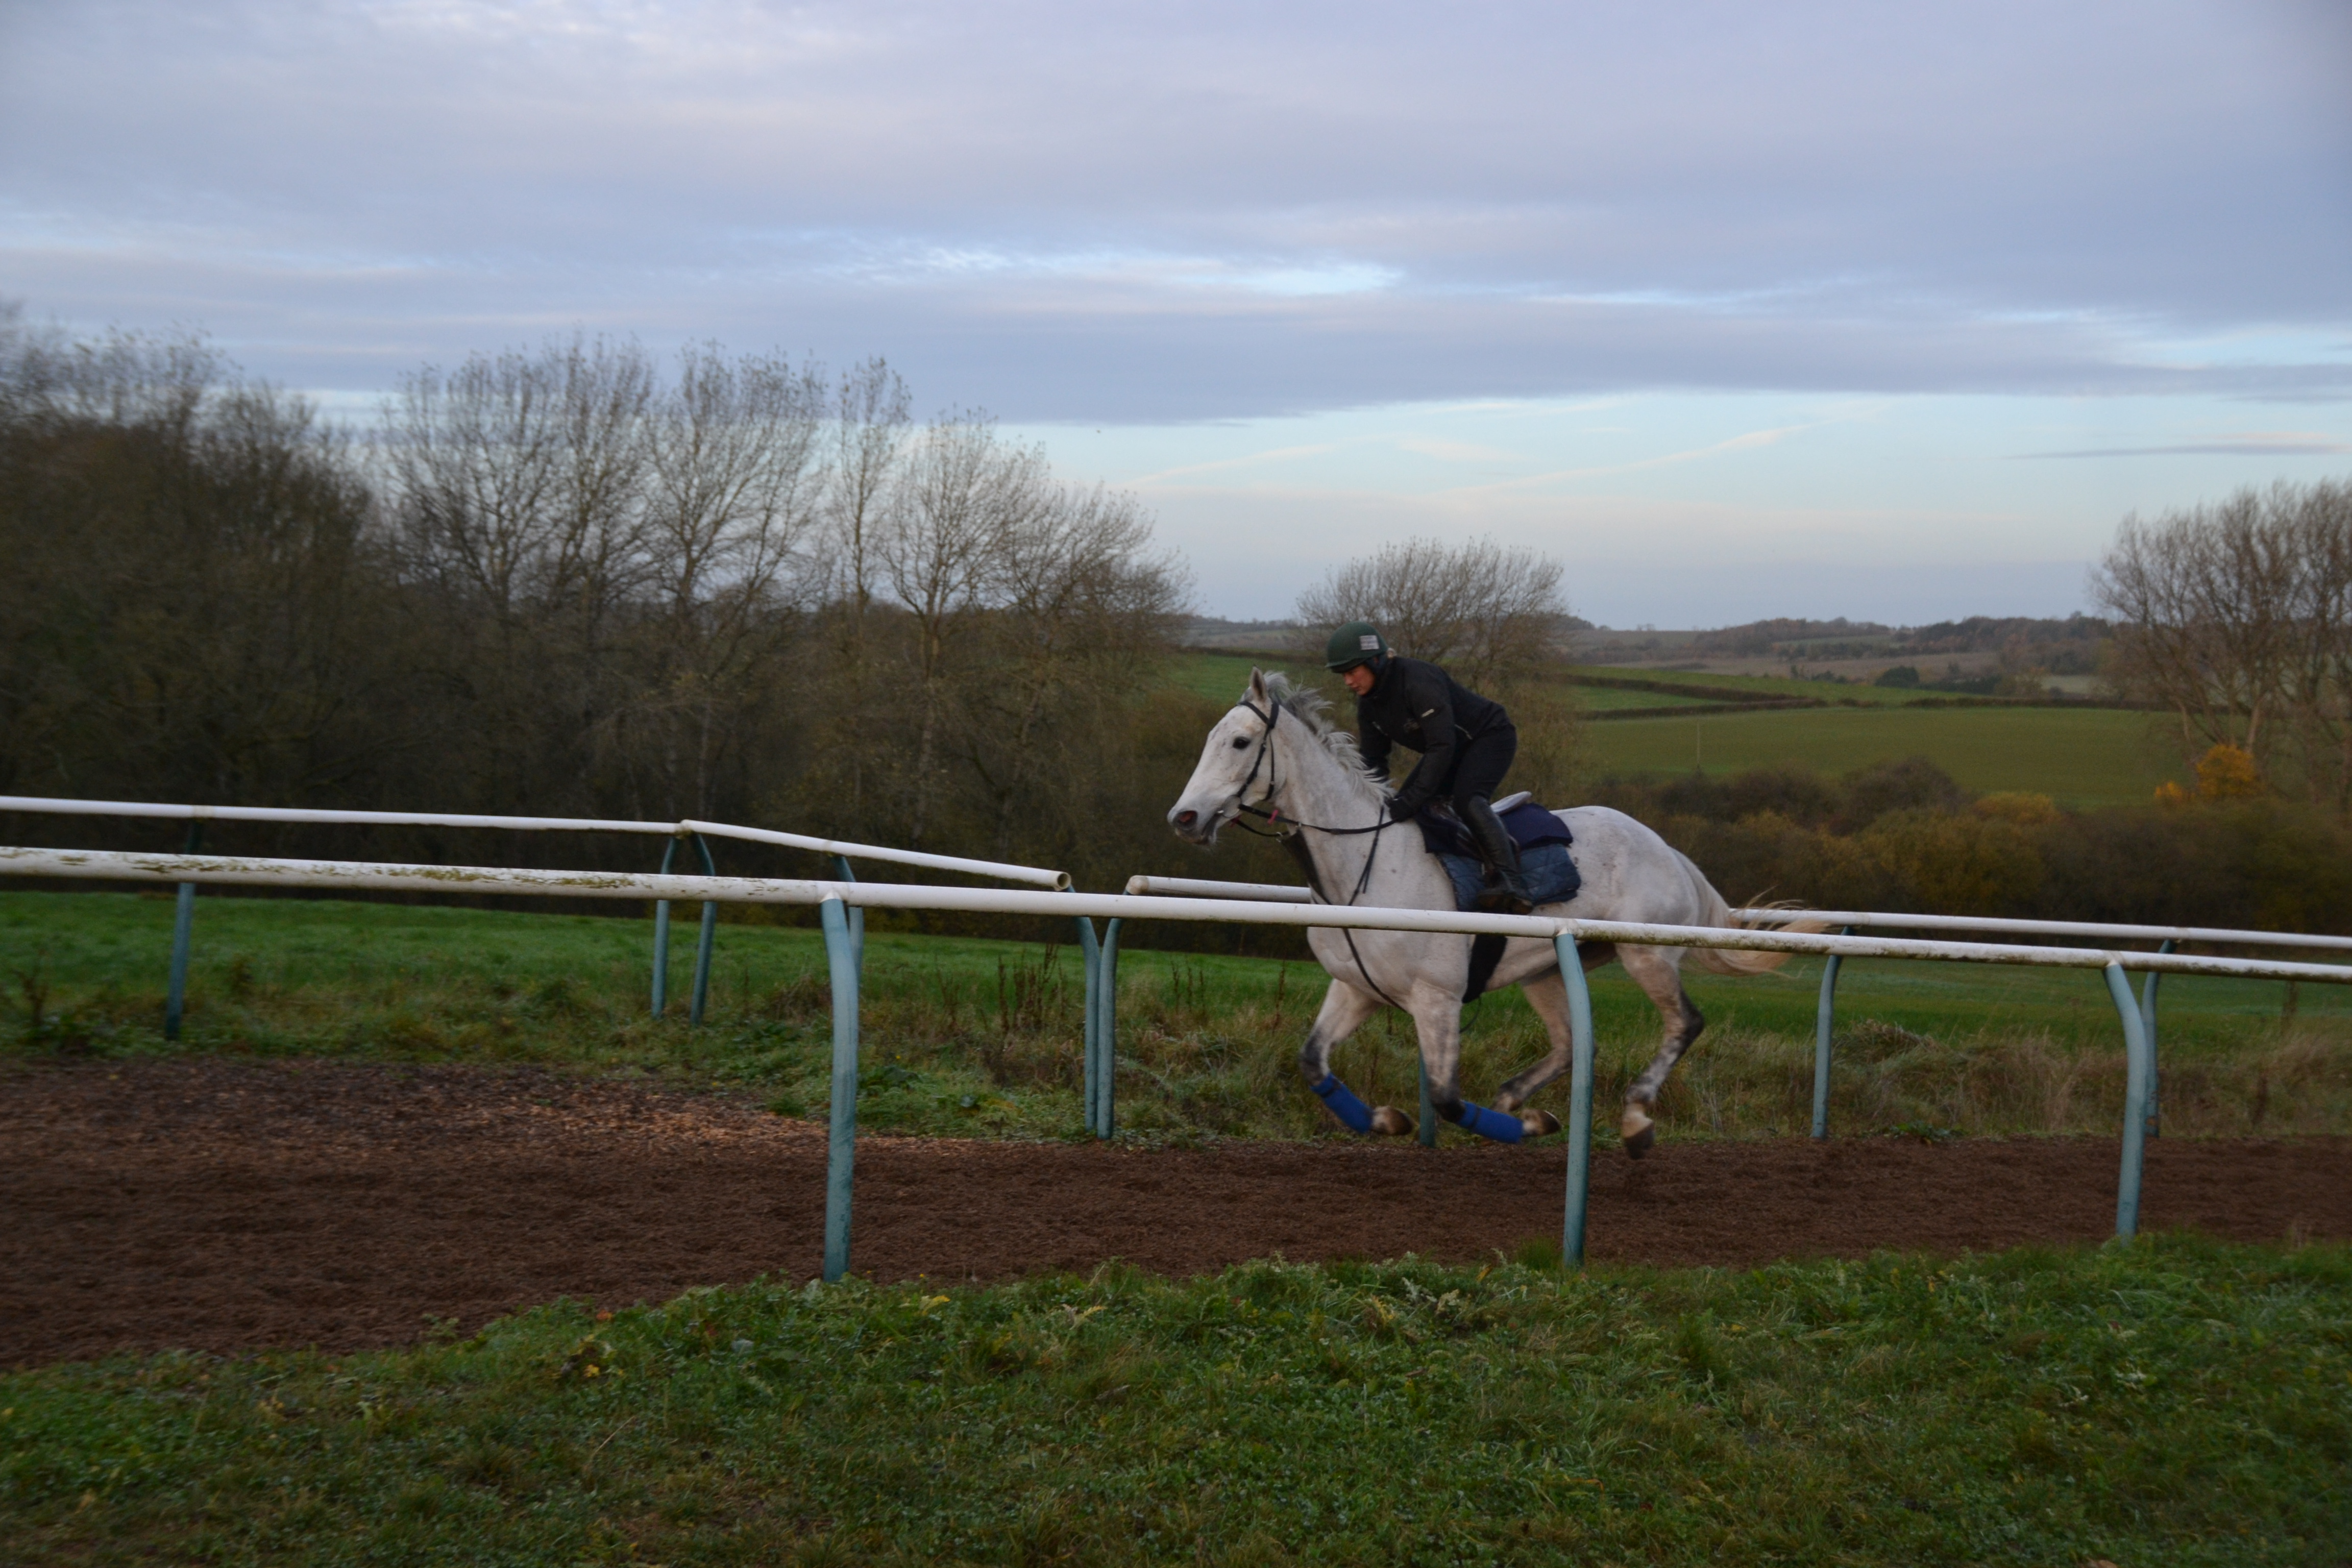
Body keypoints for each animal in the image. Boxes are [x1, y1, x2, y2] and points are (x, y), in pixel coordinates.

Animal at [1166, 668, 1806, 1161]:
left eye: (1240, 743)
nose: (1184, 819)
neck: (1362, 866)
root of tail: (1667, 848)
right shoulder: (1357, 988)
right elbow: (1313, 1063)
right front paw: (1391, 1120)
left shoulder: (1437, 997)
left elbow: (1447, 1097)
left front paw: (1522, 1125)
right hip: (1547, 969)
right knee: (1573, 1045)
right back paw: (1517, 1103)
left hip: (1645, 952)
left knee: (1684, 1024)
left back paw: (1633, 1120)